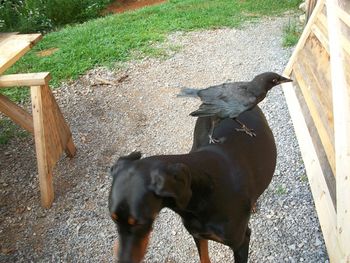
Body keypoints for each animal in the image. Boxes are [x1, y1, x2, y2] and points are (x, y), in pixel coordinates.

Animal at [108, 106, 278, 262]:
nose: (122, 260)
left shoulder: (240, 242)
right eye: (113, 219)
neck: (204, 193)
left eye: (140, 223)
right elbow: (204, 257)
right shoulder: (198, 234)